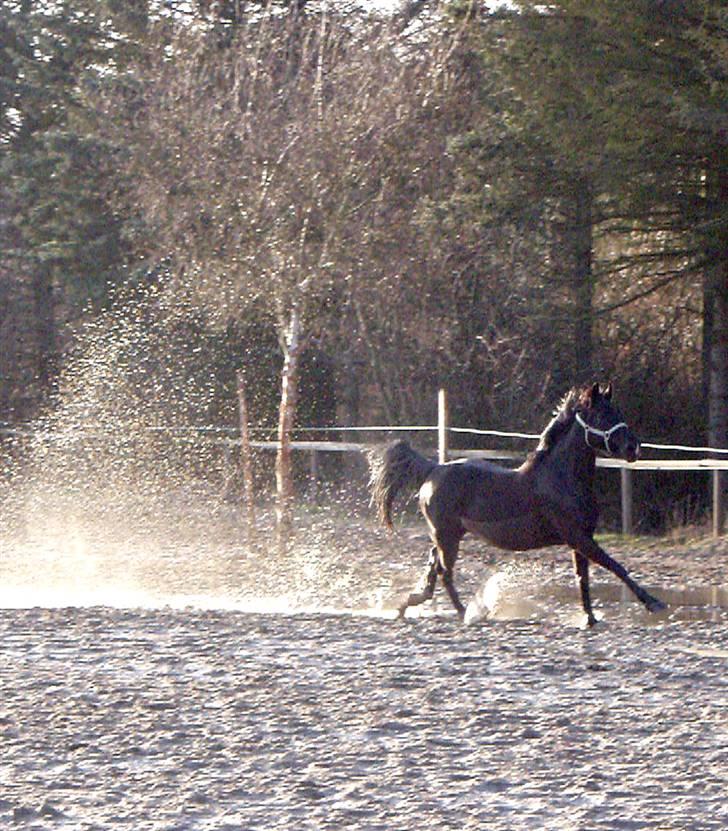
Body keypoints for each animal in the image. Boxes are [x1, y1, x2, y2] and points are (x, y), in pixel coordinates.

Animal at [370, 382, 664, 624]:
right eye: (603, 416)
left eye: (619, 412)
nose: (634, 448)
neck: (562, 478)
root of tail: (433, 470)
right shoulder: (578, 537)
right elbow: (616, 567)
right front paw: (654, 603)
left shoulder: (580, 540)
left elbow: (583, 579)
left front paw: (590, 619)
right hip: (447, 536)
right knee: (444, 572)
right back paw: (466, 613)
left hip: (447, 536)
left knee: (434, 565)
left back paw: (409, 605)